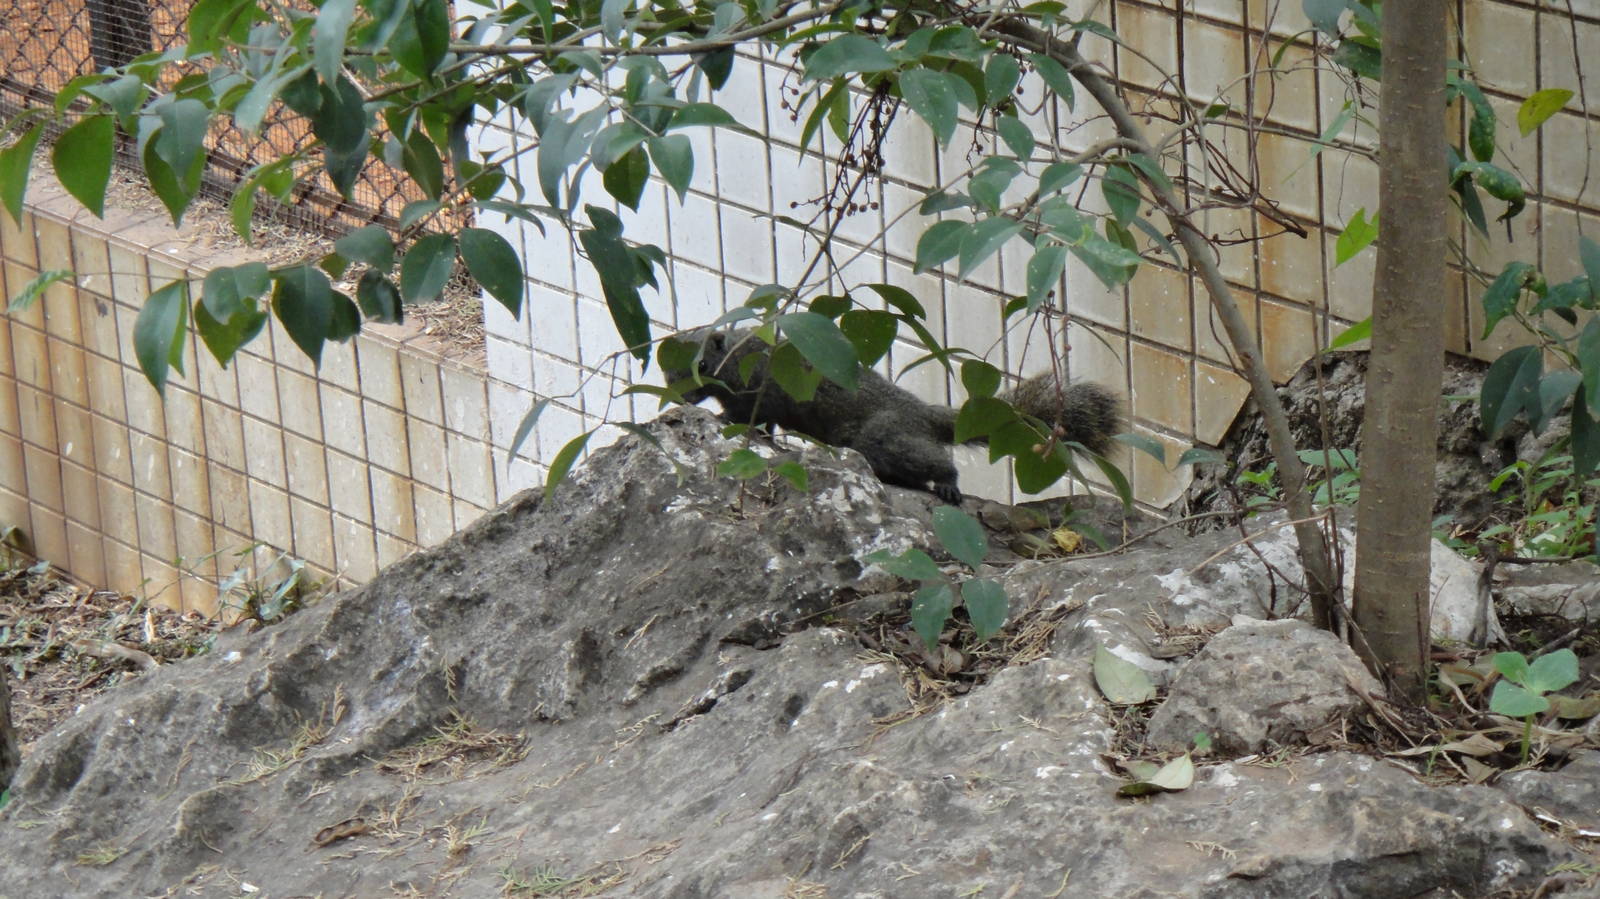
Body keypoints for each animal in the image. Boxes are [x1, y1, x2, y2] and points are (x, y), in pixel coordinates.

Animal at [662, 327, 1120, 504]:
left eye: (701, 364)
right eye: (666, 370)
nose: (680, 396)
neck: (738, 354)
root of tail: (920, 413)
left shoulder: (758, 389)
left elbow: (752, 415)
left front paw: (727, 423)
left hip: (883, 438)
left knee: (933, 462)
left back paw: (948, 485)